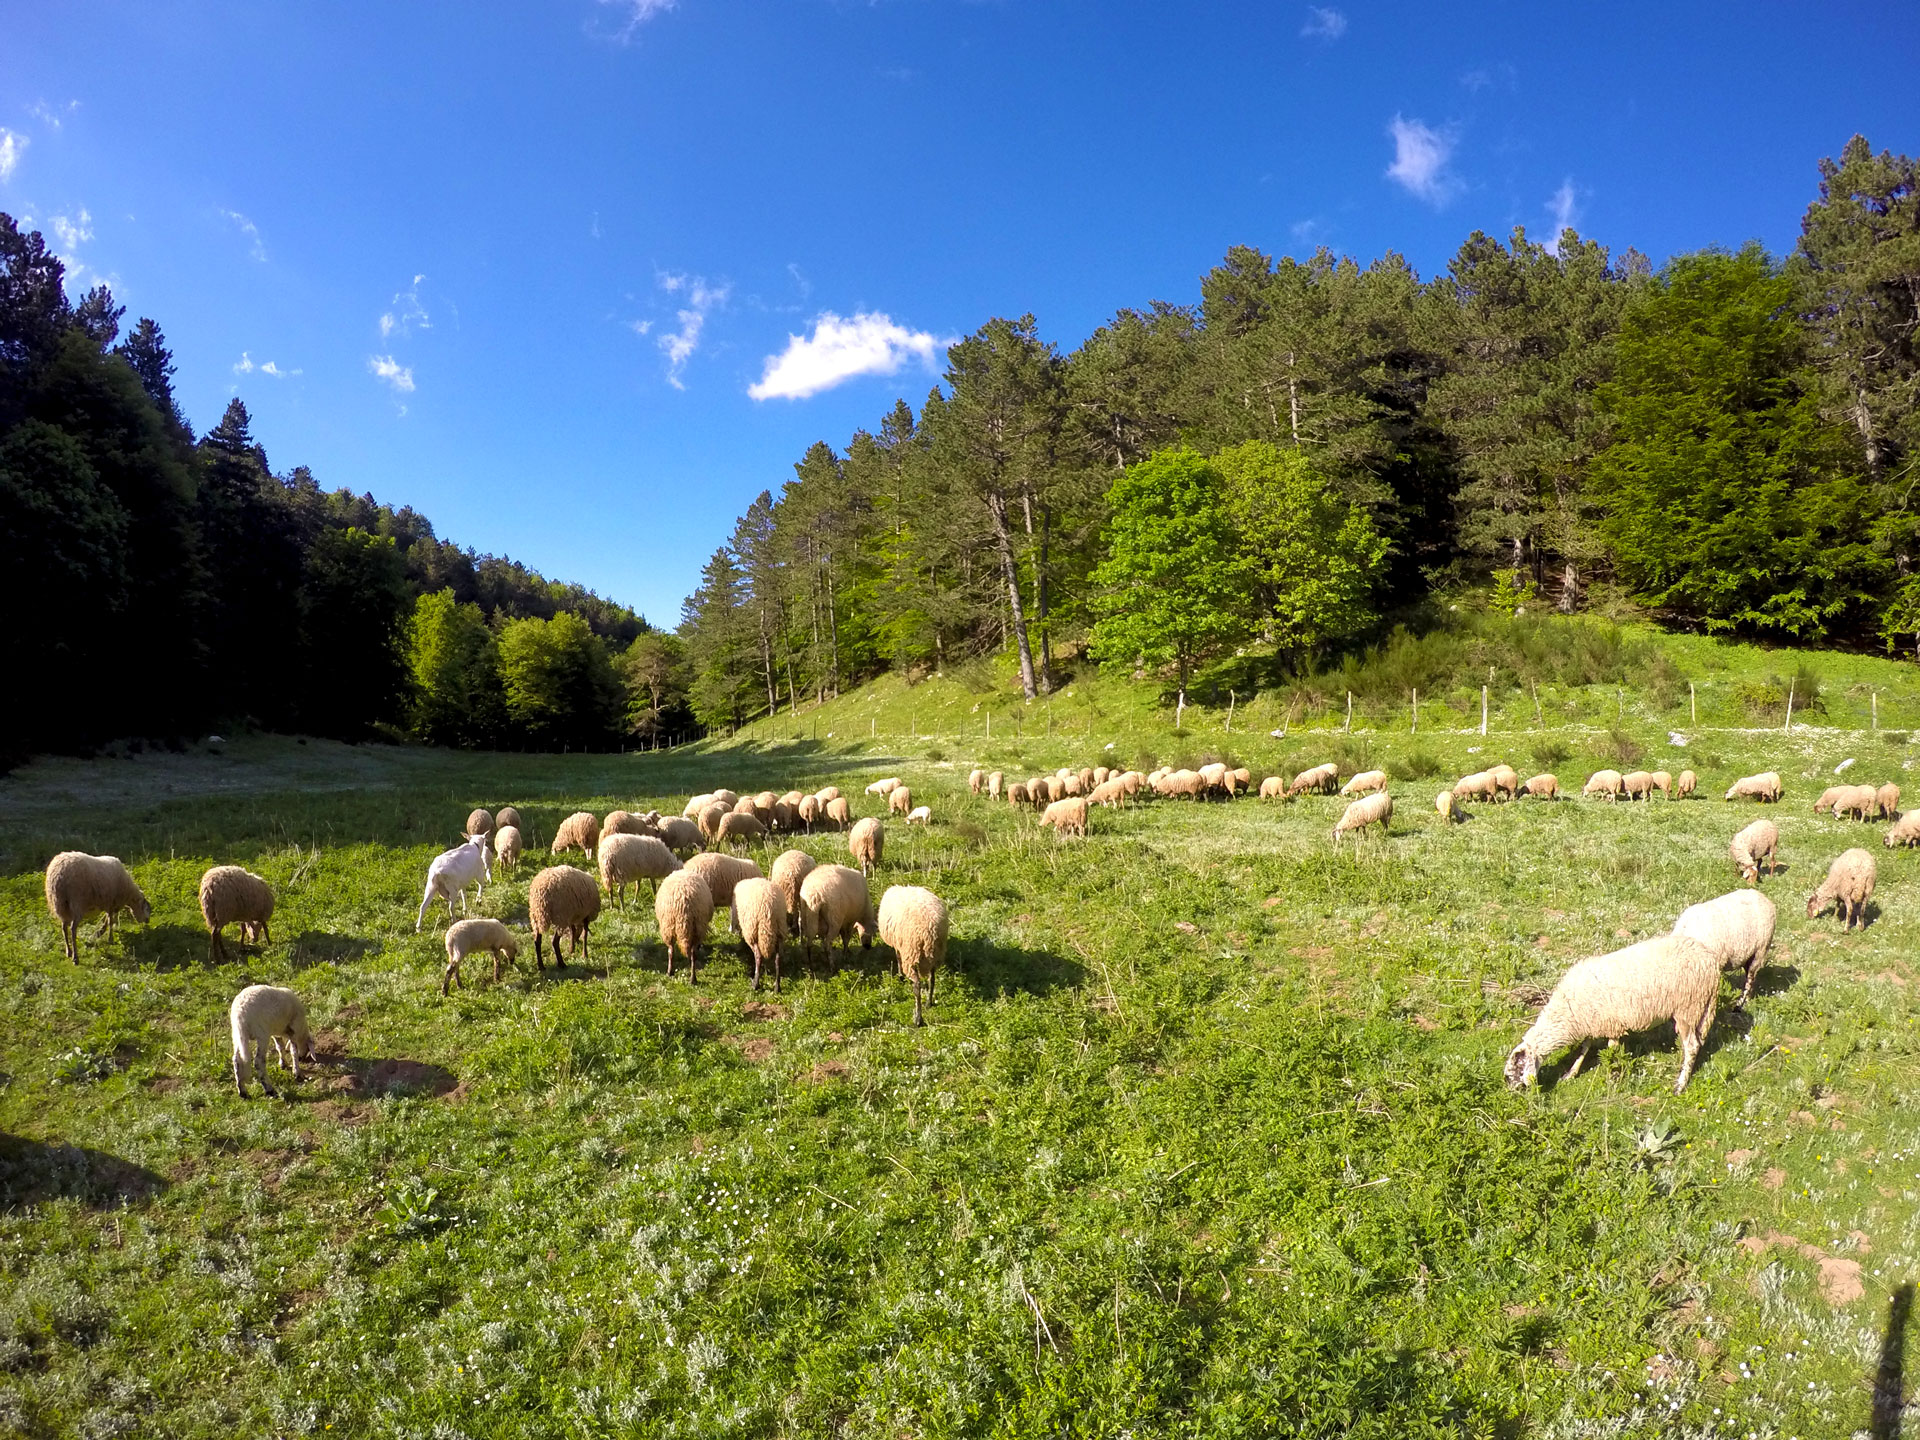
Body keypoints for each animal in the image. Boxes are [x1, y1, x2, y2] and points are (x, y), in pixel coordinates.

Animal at [879, 887, 952, 1029]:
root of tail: (930, 931)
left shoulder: (899, 945)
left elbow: (898, 958)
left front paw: (900, 976)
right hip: (936, 954)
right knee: (932, 979)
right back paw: (929, 1002)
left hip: (911, 954)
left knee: (917, 986)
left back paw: (918, 1019)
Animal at [1497, 936, 1728, 1090]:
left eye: (1513, 1073)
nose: (1513, 1093)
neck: (1567, 1013)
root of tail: (1709, 960)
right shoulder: (1592, 1022)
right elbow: (1585, 1048)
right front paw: (1570, 1073)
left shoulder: (1611, 1024)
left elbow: (1610, 1051)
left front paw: (1612, 1076)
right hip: (1700, 1007)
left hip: (1688, 1006)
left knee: (1692, 1046)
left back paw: (1681, 1083)